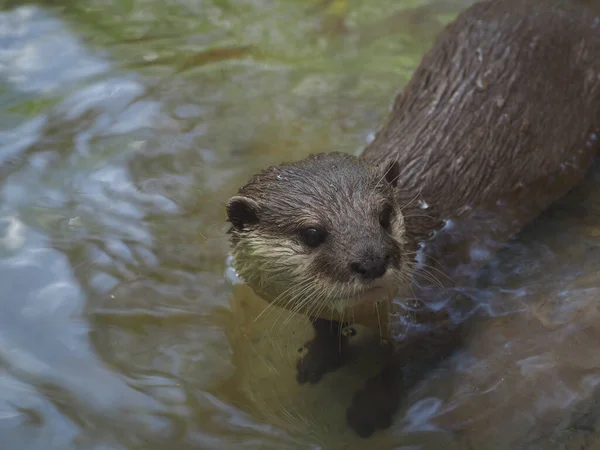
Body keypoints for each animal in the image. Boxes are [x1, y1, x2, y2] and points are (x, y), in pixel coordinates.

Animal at [223, 0, 600, 440]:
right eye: (312, 232)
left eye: (385, 214)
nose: (371, 259)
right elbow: (322, 328)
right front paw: (318, 360)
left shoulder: (435, 311)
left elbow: (402, 365)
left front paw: (369, 409)